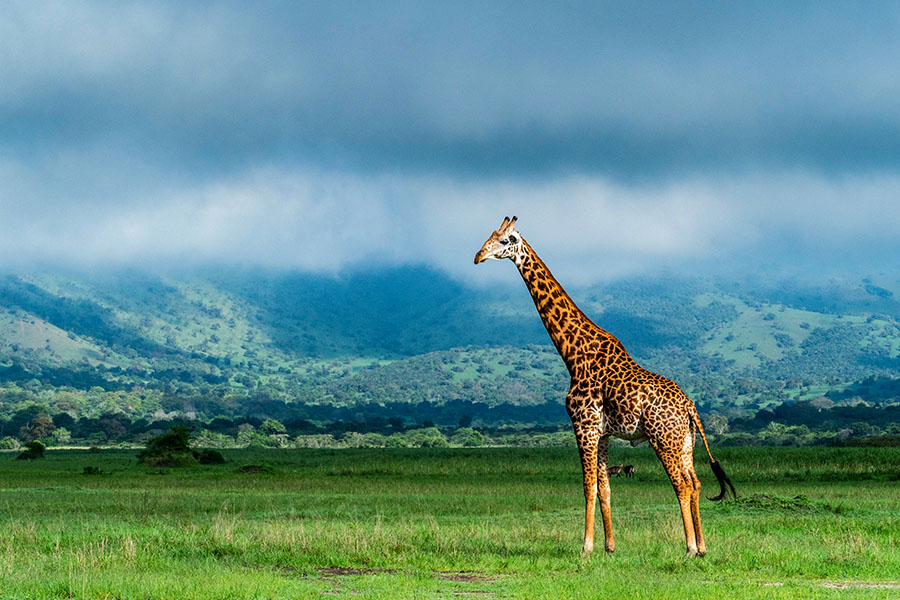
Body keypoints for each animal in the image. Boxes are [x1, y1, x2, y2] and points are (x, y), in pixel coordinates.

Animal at [474, 216, 736, 556]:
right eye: (490, 236)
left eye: (505, 241)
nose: (478, 256)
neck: (573, 353)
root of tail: (690, 406)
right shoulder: (603, 433)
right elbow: (605, 488)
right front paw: (610, 546)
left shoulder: (583, 425)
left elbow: (588, 486)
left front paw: (585, 546)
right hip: (685, 441)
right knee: (697, 483)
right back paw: (703, 546)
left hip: (663, 439)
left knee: (682, 484)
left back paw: (690, 547)